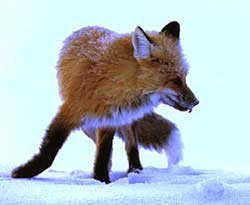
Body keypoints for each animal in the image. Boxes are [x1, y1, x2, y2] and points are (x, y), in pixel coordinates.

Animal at [11, 21, 199, 183]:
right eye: (175, 80)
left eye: (185, 77)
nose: (196, 102)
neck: (111, 80)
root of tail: (87, 27)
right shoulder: (71, 110)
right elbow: (50, 149)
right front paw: (24, 173)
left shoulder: (109, 118)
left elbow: (104, 152)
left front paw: (101, 181)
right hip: (88, 126)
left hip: (120, 121)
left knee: (131, 146)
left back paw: (135, 172)